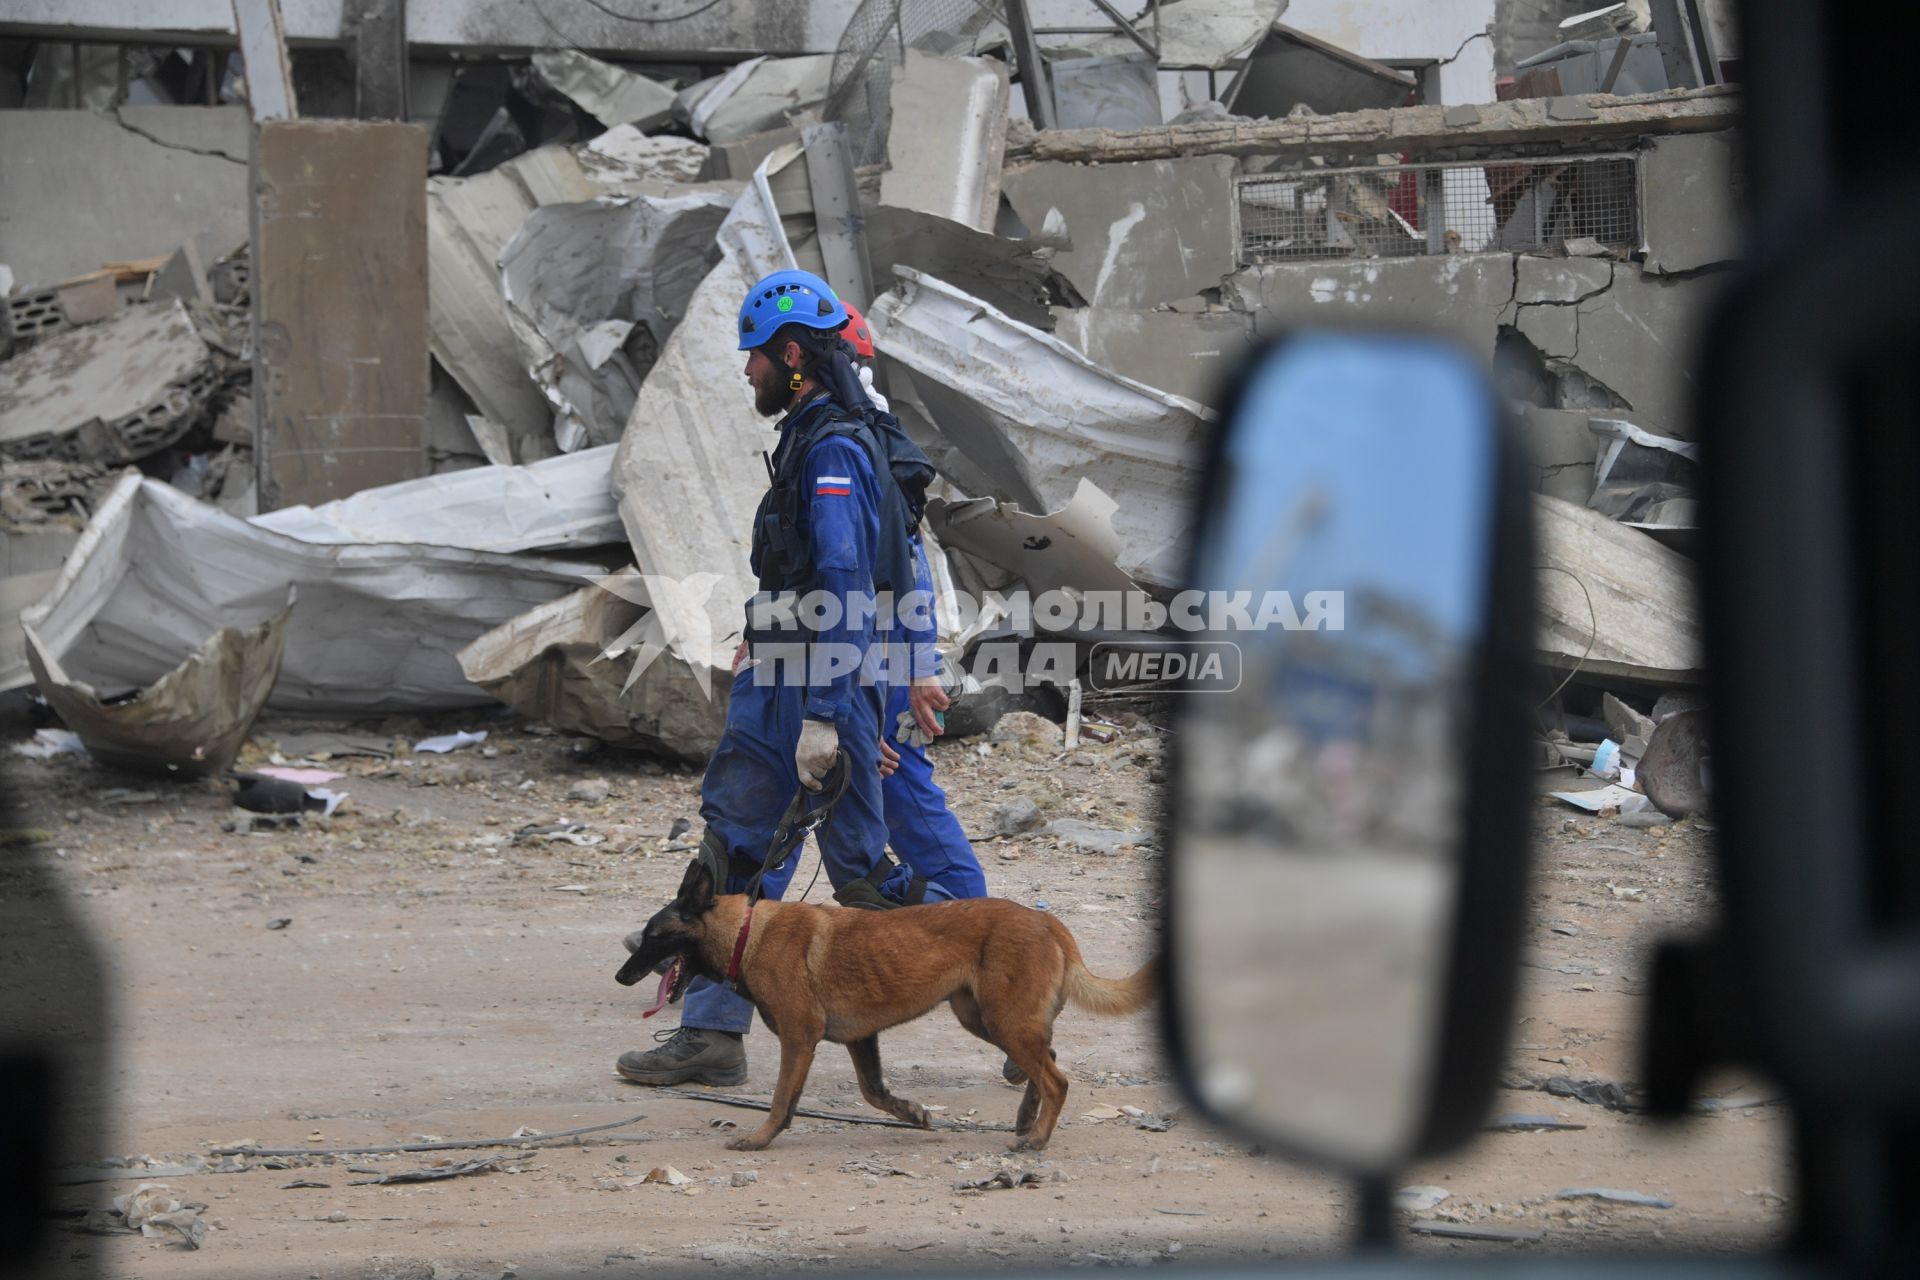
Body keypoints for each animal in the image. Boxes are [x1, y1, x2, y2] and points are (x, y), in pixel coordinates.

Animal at [614, 859, 1152, 1151]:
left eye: (655, 937)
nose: (621, 975)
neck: (747, 934)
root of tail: (1048, 922)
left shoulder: (799, 1038)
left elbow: (781, 1099)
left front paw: (760, 1137)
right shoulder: (859, 1040)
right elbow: (874, 1094)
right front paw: (913, 1114)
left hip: (1004, 1021)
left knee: (1057, 1079)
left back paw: (1037, 1139)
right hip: (983, 1018)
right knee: (1048, 1061)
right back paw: (1026, 1119)